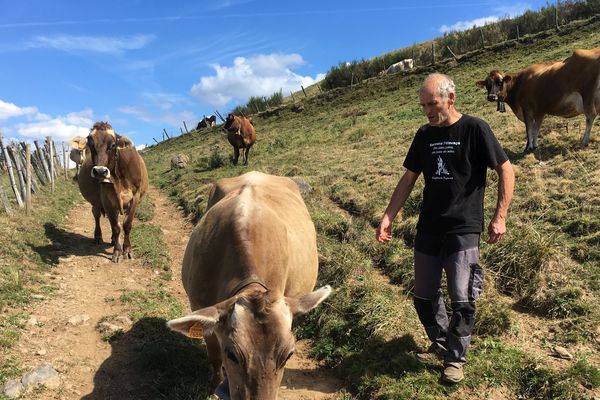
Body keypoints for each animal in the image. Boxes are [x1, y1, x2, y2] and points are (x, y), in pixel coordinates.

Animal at [77, 121, 149, 262]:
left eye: (113, 145)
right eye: (91, 144)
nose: (100, 171)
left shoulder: (135, 196)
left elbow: (126, 224)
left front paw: (127, 250)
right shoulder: (106, 198)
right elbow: (116, 227)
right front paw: (117, 251)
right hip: (97, 202)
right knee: (97, 215)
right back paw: (98, 237)